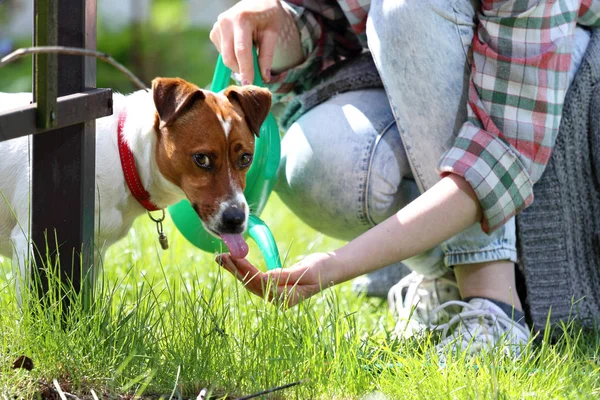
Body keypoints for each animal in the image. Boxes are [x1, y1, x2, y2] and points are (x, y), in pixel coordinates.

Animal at [0, 76, 272, 294]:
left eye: (245, 158)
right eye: (201, 158)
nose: (236, 220)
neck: (126, 155)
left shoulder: (93, 250)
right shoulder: (29, 245)